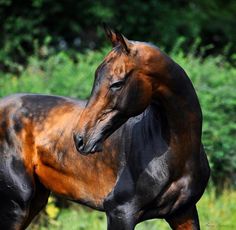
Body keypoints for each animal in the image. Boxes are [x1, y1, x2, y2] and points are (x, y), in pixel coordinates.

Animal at [0, 25, 210, 230]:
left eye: (117, 83)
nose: (80, 139)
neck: (177, 155)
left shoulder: (183, 213)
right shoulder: (120, 213)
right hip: (17, 207)